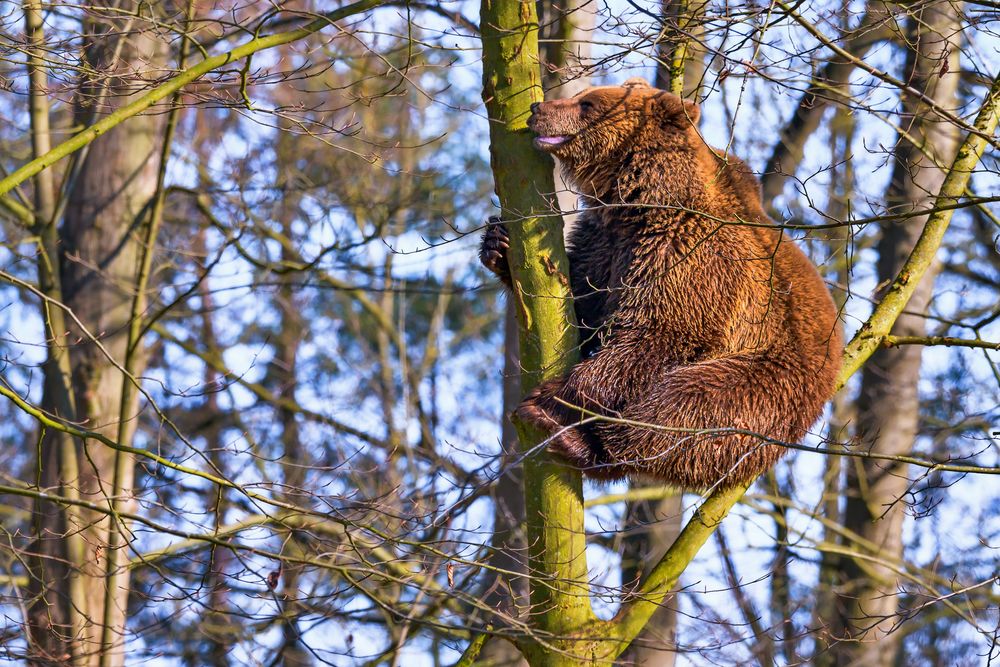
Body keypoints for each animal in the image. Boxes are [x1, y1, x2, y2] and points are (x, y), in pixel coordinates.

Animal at [480, 78, 840, 488]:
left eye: (588, 104)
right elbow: (581, 302)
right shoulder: (609, 244)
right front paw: (498, 243)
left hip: (764, 378)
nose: (538, 107)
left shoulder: (686, 255)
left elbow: (657, 333)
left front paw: (552, 396)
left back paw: (581, 441)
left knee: (683, 408)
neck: (642, 199)